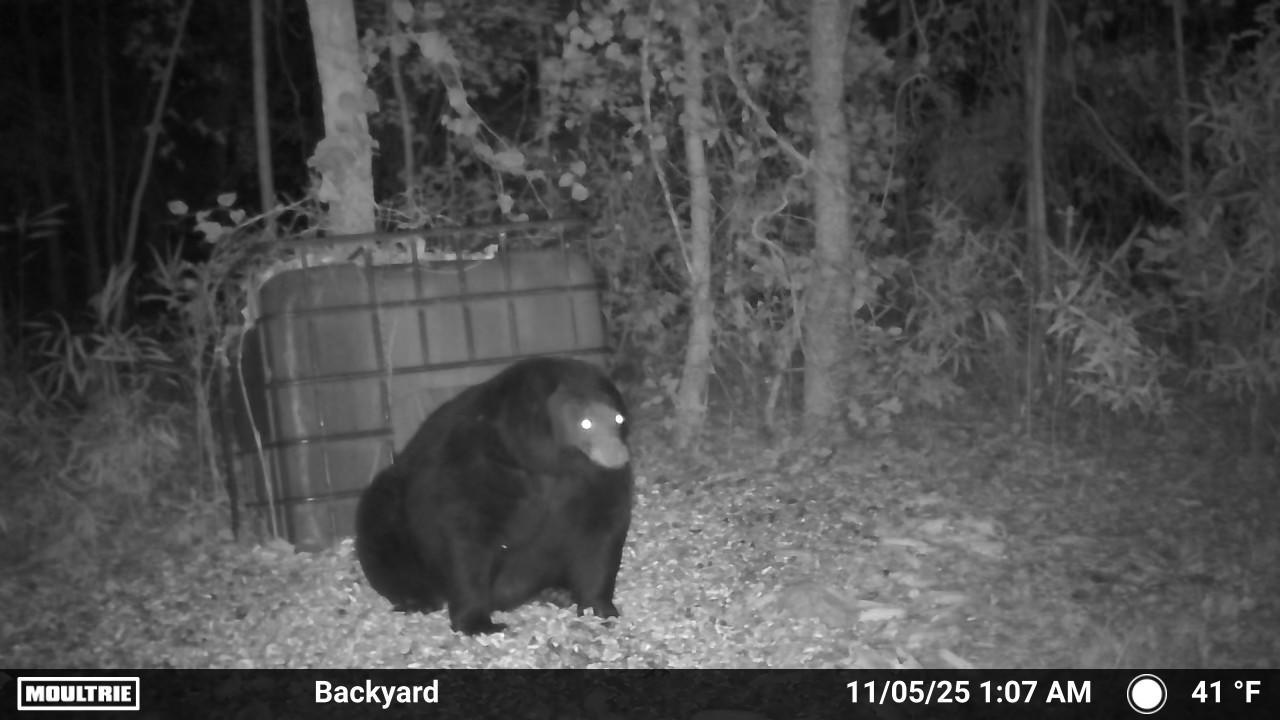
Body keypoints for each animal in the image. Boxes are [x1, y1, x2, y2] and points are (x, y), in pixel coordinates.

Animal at [355, 356, 633, 635]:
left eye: (619, 419)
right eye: (585, 422)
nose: (618, 454)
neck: (547, 464)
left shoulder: (594, 480)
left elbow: (602, 532)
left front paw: (599, 608)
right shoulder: (478, 463)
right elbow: (467, 538)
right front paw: (477, 622)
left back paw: (556, 592)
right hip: (395, 512)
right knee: (383, 528)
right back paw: (417, 598)